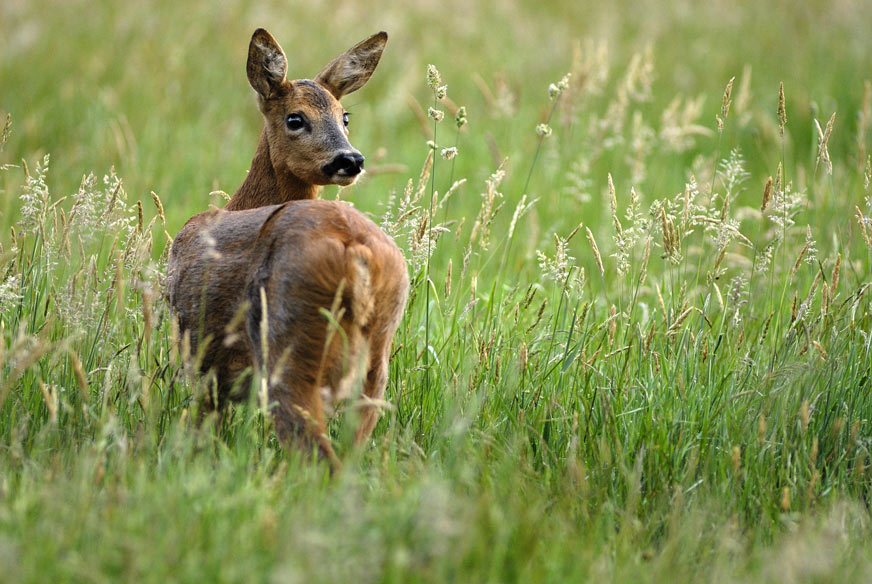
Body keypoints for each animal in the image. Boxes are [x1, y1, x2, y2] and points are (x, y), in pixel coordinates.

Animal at [166, 28, 408, 470]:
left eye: (344, 117)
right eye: (295, 118)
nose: (350, 159)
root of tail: (356, 257)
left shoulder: (202, 360)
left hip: (287, 347)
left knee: (318, 455)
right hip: (377, 359)